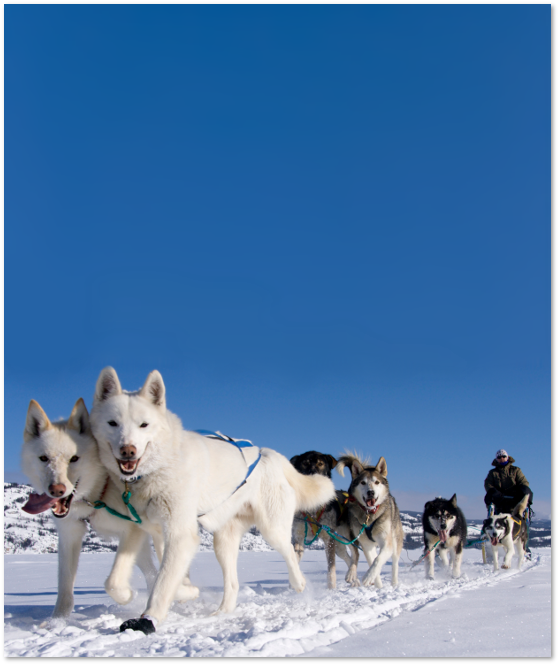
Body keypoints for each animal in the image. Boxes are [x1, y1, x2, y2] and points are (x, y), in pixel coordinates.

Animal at [21, 398, 158, 620]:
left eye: (74, 458)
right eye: (44, 458)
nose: (56, 490)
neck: (100, 490)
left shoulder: (133, 530)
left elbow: (112, 582)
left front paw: (128, 596)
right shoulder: (70, 534)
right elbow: (64, 585)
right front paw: (57, 621)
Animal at [89, 367, 335, 634]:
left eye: (144, 425)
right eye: (113, 423)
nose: (128, 450)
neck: (161, 465)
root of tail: (265, 453)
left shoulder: (180, 534)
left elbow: (163, 583)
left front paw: (149, 618)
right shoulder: (149, 529)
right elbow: (124, 580)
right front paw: (181, 591)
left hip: (272, 529)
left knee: (290, 551)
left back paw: (298, 582)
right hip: (223, 542)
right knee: (233, 583)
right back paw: (221, 612)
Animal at [290, 451, 356, 589]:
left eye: (320, 464)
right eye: (305, 463)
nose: (313, 475)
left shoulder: (328, 540)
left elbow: (331, 569)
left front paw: (331, 590)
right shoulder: (298, 538)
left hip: (348, 537)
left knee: (356, 554)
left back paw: (352, 575)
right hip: (339, 546)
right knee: (349, 558)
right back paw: (355, 580)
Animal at [332, 453, 404, 589]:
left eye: (376, 482)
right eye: (363, 482)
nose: (371, 492)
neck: (369, 515)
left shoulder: (387, 543)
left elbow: (377, 560)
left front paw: (368, 576)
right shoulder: (367, 545)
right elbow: (373, 561)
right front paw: (375, 583)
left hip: (395, 541)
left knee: (395, 564)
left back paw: (394, 584)